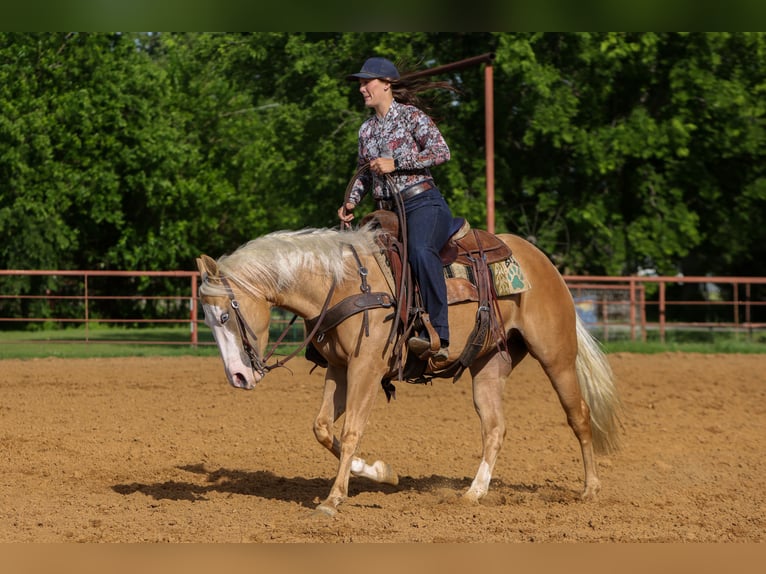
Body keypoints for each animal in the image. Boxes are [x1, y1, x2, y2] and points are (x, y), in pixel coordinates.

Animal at [196, 223, 622, 517]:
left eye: (224, 316)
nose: (237, 377)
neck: (343, 283)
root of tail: (543, 262)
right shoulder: (339, 368)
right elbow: (323, 428)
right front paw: (381, 471)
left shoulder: (367, 367)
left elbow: (350, 430)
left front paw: (333, 500)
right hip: (489, 365)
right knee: (494, 428)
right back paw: (474, 492)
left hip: (556, 357)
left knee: (579, 416)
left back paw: (591, 489)